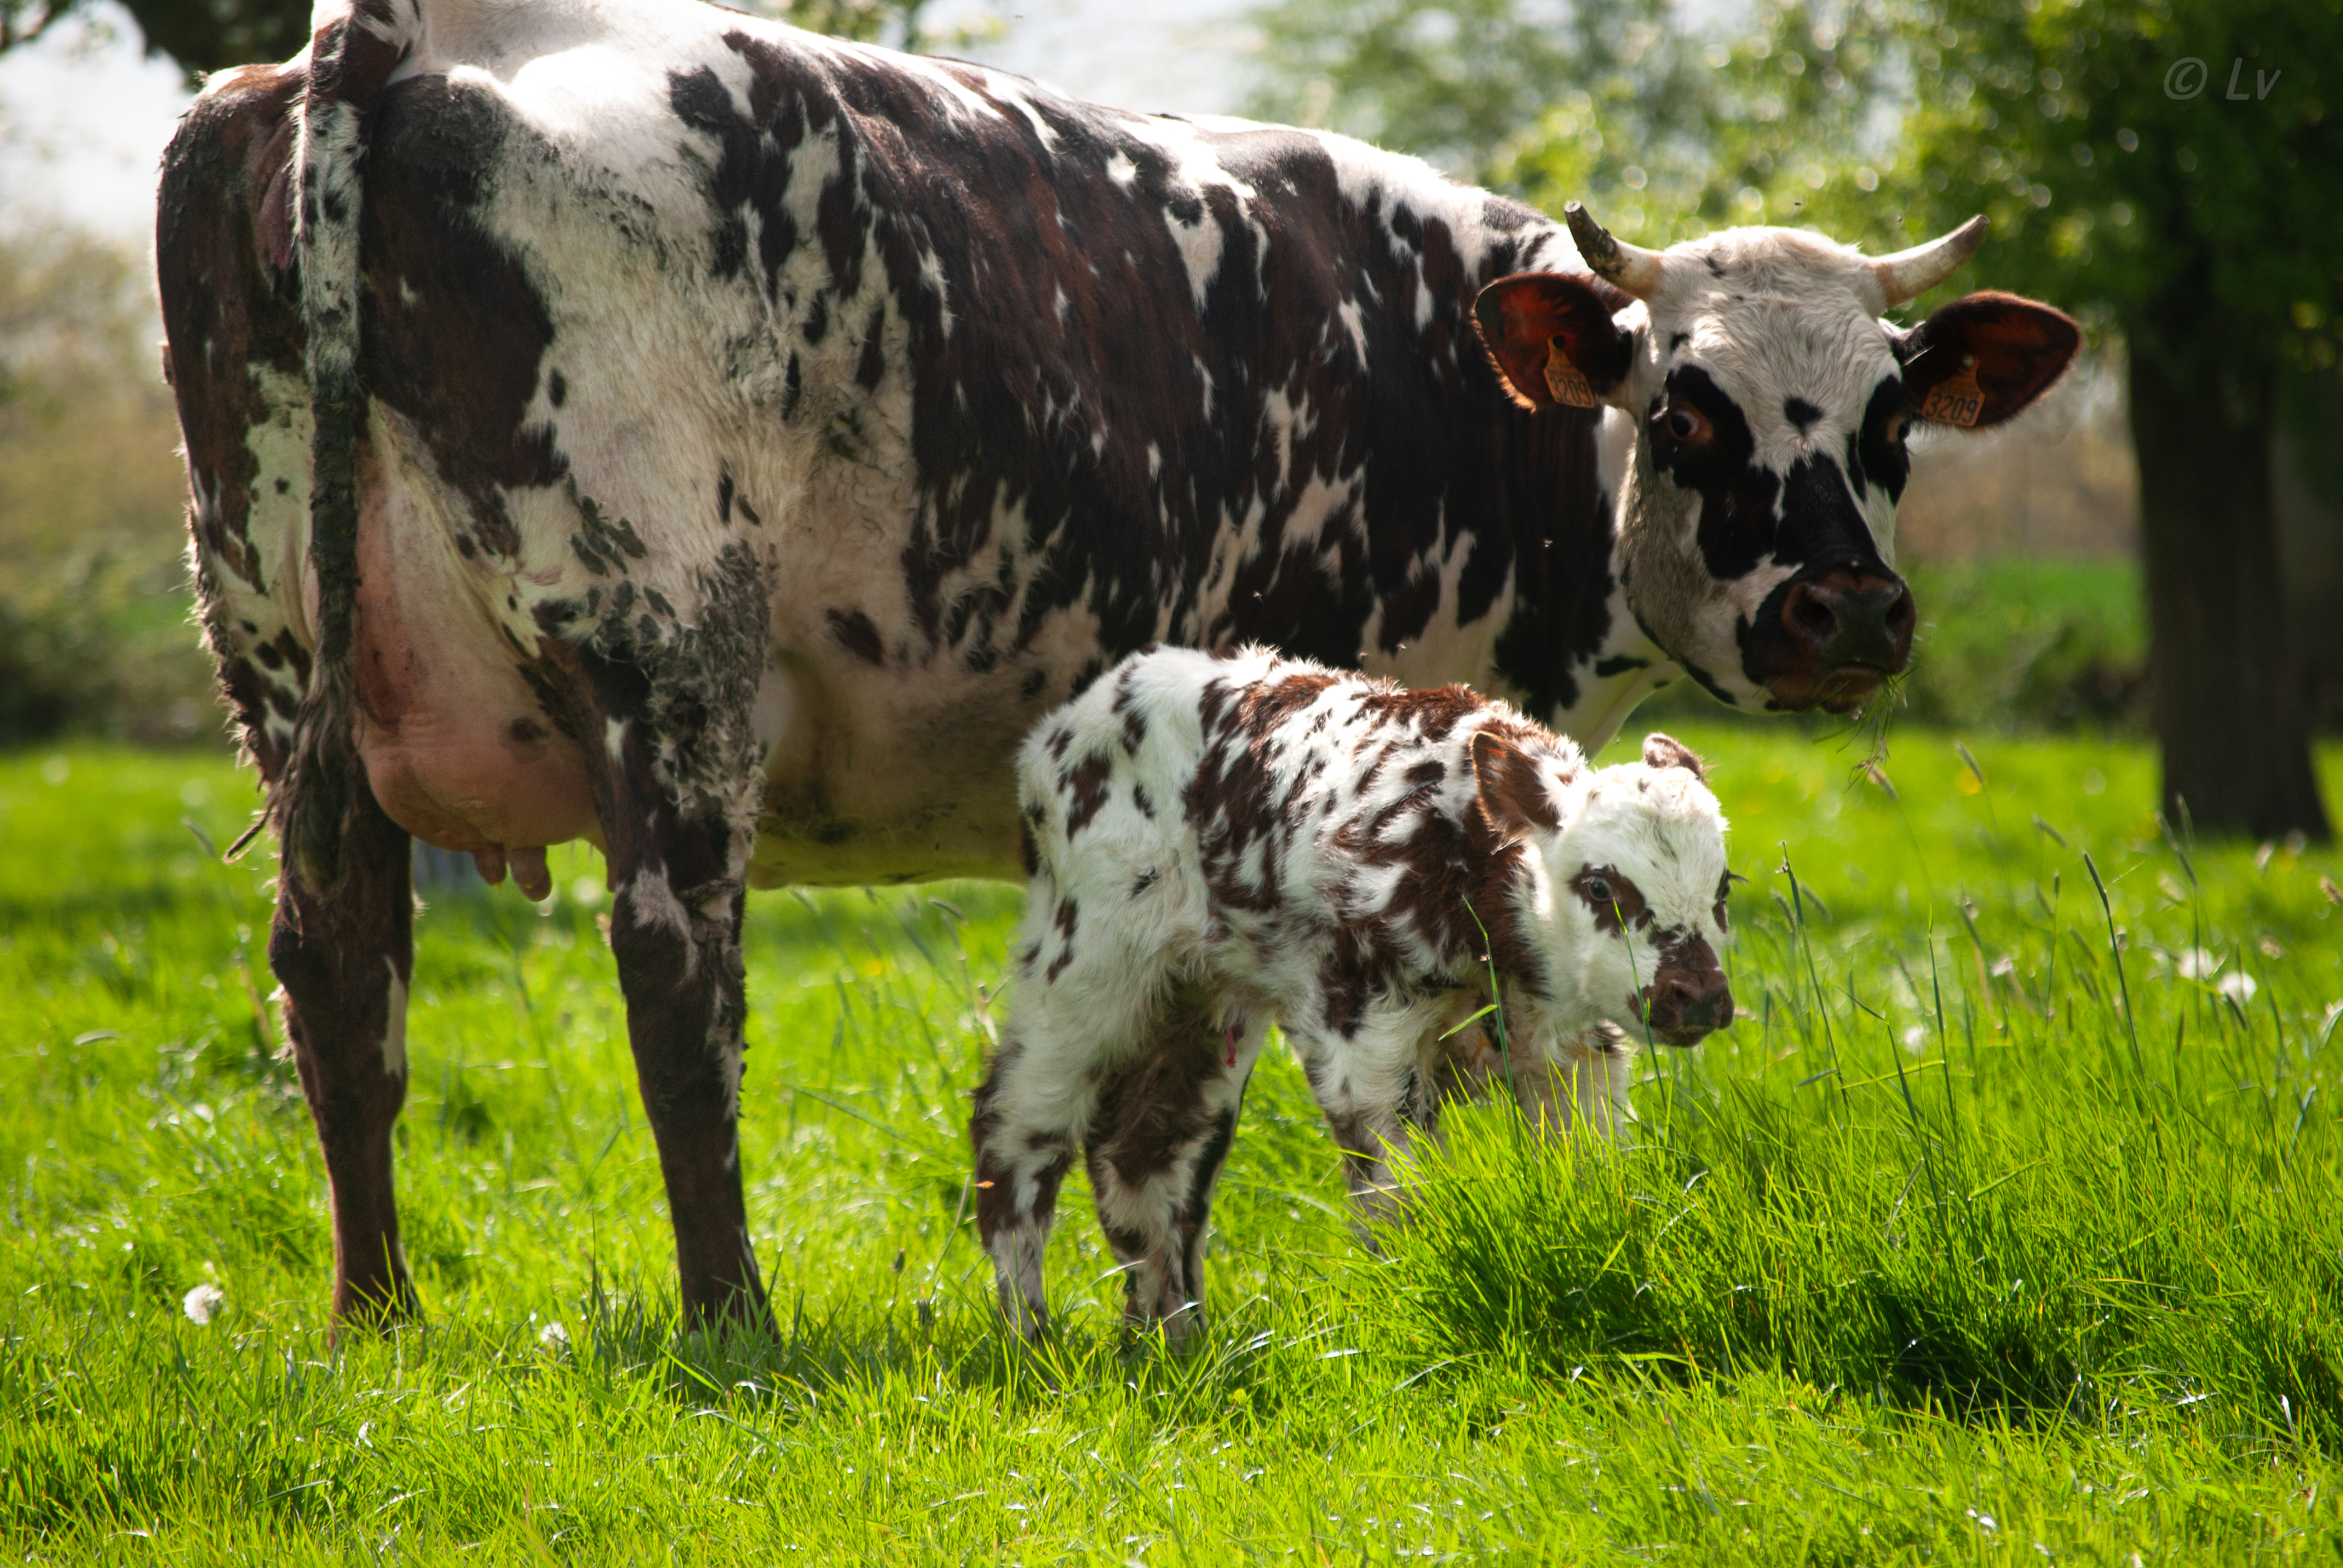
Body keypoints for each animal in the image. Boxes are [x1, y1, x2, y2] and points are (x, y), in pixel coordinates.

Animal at [971, 646, 1732, 1341]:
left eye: (1722, 888)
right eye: (1600, 886)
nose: (1696, 996)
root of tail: (1069, 724)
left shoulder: (1570, 1051)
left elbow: (1587, 1179)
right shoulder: (1364, 1041)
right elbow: (1403, 1200)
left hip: (1200, 1003)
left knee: (1147, 1154)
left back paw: (1172, 1345)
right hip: (1085, 965)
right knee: (1014, 1129)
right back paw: (1030, 1340)